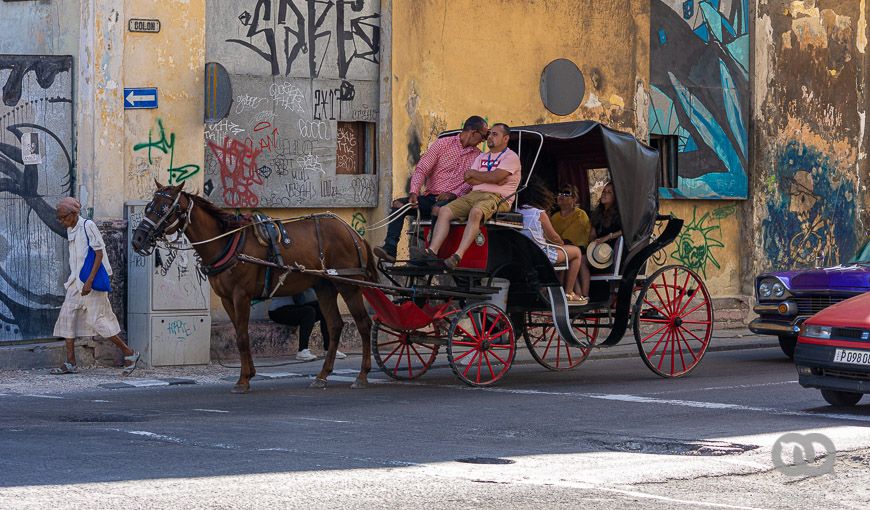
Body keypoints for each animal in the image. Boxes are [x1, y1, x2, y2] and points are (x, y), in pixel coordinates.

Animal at [131, 181, 376, 392]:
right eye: (149, 206)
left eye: (165, 208)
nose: (138, 239)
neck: (226, 241)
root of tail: (353, 233)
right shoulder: (226, 298)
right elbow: (241, 334)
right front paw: (249, 374)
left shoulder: (241, 295)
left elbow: (241, 337)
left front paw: (242, 380)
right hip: (325, 286)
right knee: (335, 325)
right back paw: (323, 375)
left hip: (349, 285)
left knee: (364, 324)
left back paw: (362, 375)